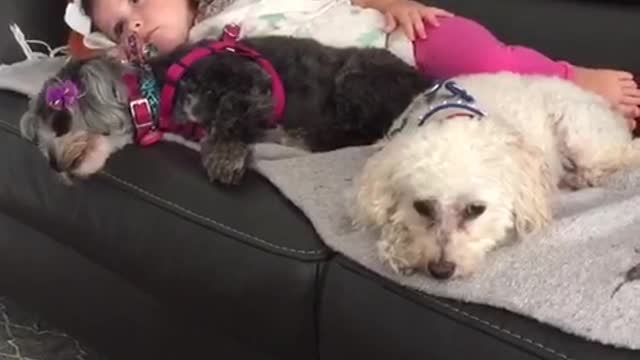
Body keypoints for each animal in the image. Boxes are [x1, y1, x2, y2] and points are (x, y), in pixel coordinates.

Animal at [350, 71, 640, 280]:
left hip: (581, 135)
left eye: (475, 210)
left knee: (621, 156)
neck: (452, 113)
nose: (440, 271)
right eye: (422, 207)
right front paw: (399, 246)